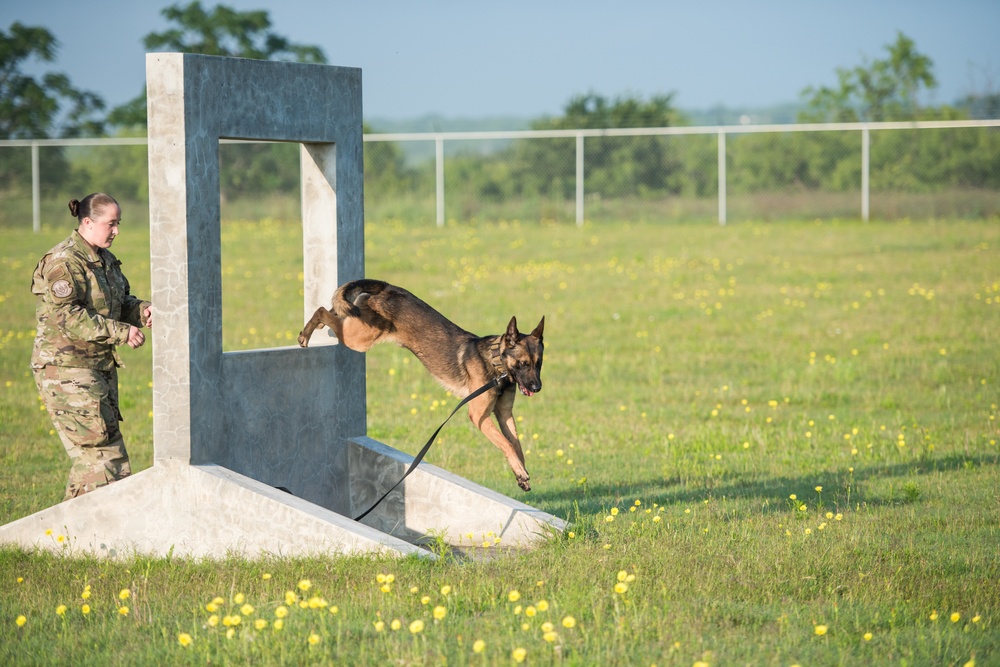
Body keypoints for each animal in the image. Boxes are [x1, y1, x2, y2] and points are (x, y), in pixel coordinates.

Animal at [298, 280, 548, 494]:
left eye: (539, 364)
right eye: (523, 363)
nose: (537, 388)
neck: (497, 365)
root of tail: (386, 287)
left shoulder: (504, 414)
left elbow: (516, 445)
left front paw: (520, 473)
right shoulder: (479, 415)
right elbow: (507, 444)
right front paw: (521, 472)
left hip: (358, 330)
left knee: (333, 312)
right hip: (359, 339)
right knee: (323, 310)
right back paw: (305, 334)